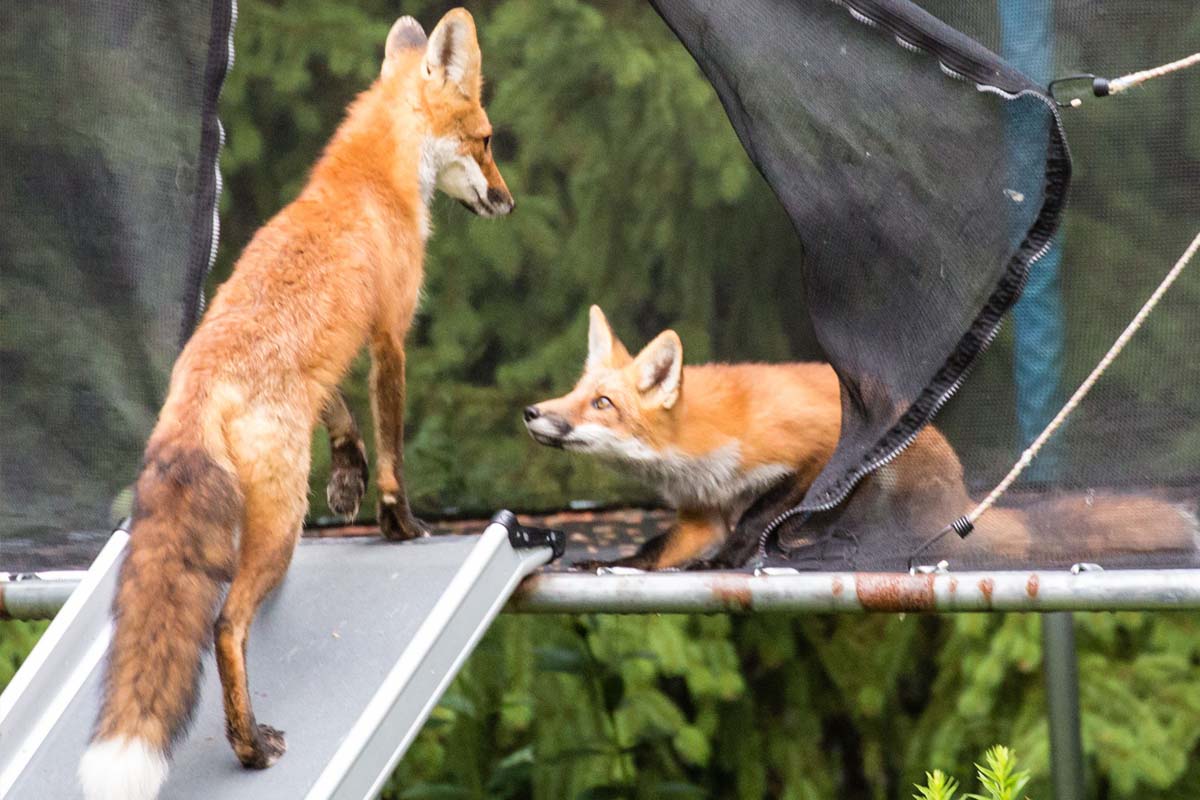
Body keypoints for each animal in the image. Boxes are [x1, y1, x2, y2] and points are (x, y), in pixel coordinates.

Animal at [79, 10, 512, 800]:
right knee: (224, 627)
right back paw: (250, 746)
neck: (369, 183)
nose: (508, 201)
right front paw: (402, 523)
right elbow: (395, 446)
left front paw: (347, 474)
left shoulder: (330, 361)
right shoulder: (390, 334)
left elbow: (340, 415)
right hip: (279, 529)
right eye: (487, 139)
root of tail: (194, 386)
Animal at [524, 306, 1198, 570]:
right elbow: (654, 551)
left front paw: (731, 559)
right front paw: (609, 564)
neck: (697, 452)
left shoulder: (814, 453)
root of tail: (959, 499)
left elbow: (761, 516)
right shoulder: (700, 513)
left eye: (602, 403)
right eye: (574, 392)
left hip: (887, 474)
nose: (532, 413)